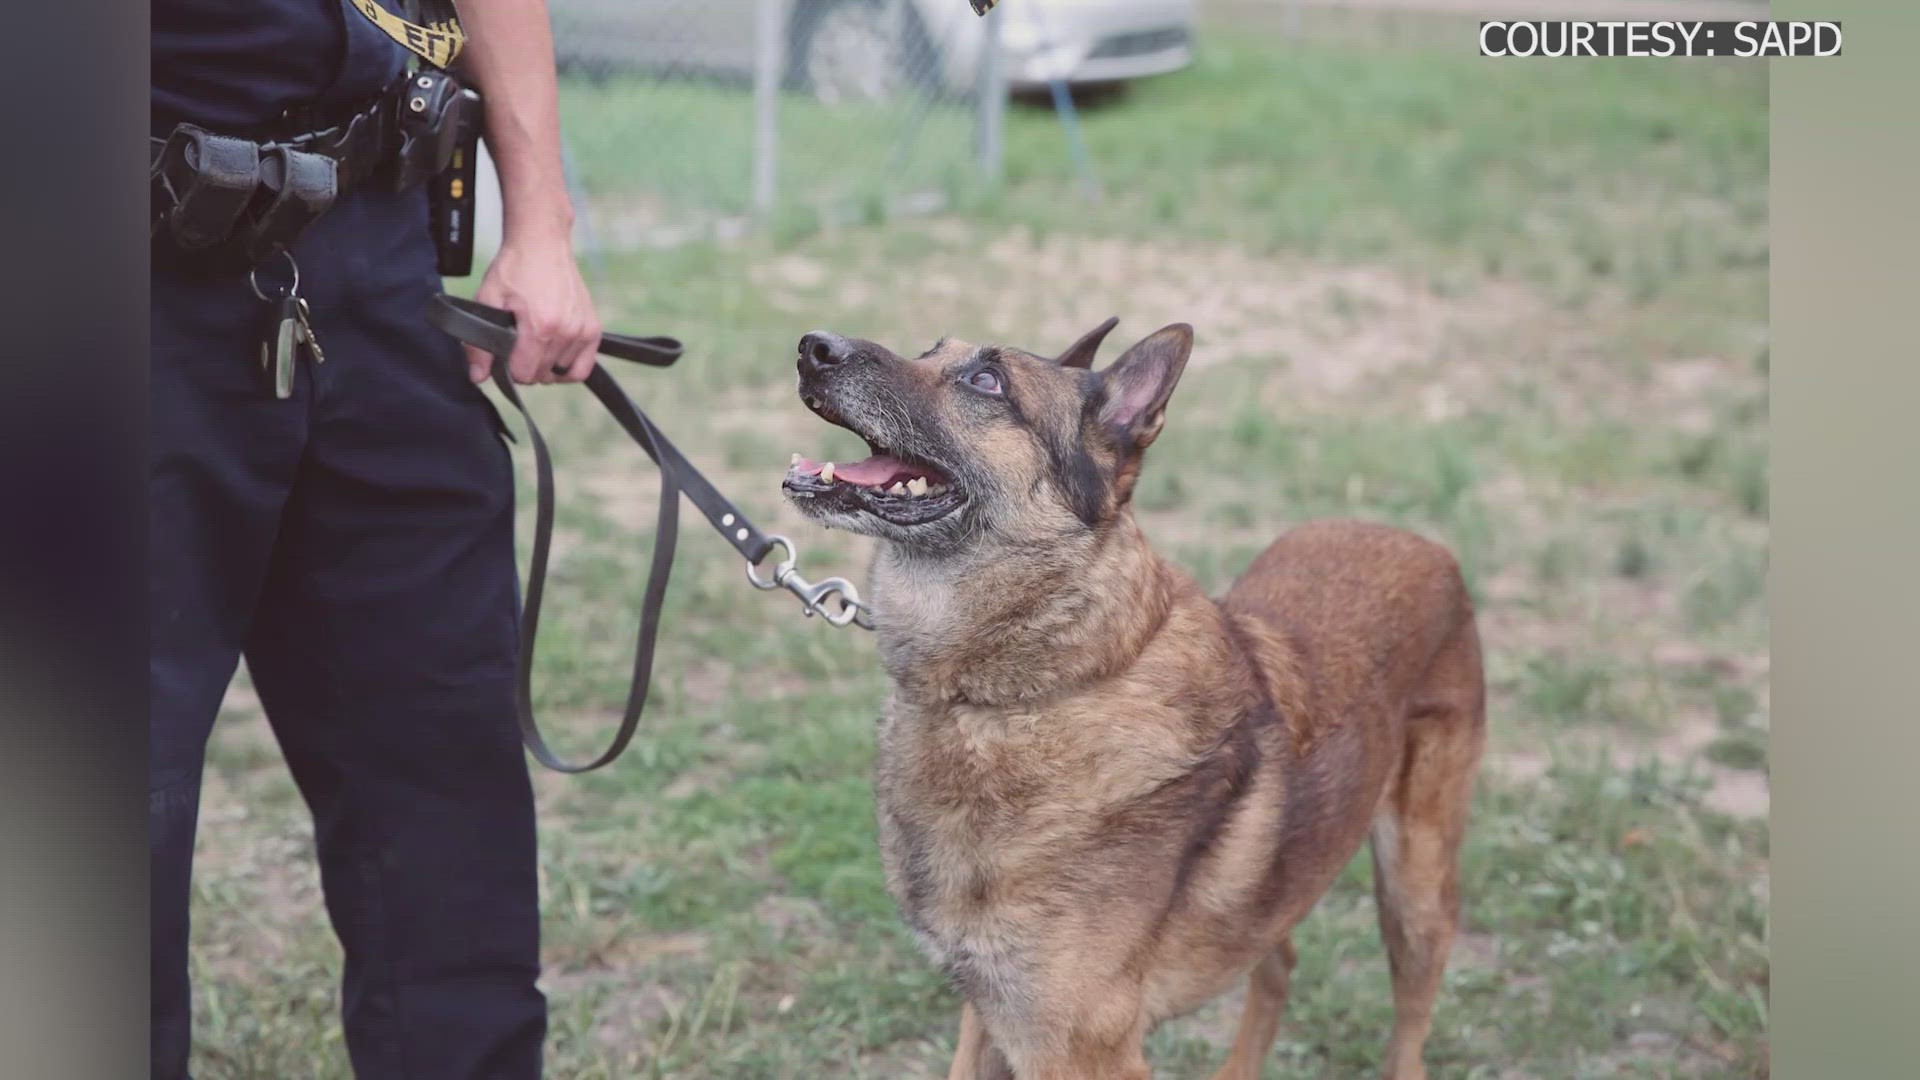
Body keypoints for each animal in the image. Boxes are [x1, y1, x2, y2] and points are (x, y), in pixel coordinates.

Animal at [779, 319, 1482, 1076]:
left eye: (987, 383)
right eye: (930, 349)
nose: (814, 346)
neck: (1025, 690)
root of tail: (1422, 542)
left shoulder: (1077, 1049)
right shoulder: (992, 1013)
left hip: (1415, 889)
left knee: (1408, 1017)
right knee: (1278, 957)